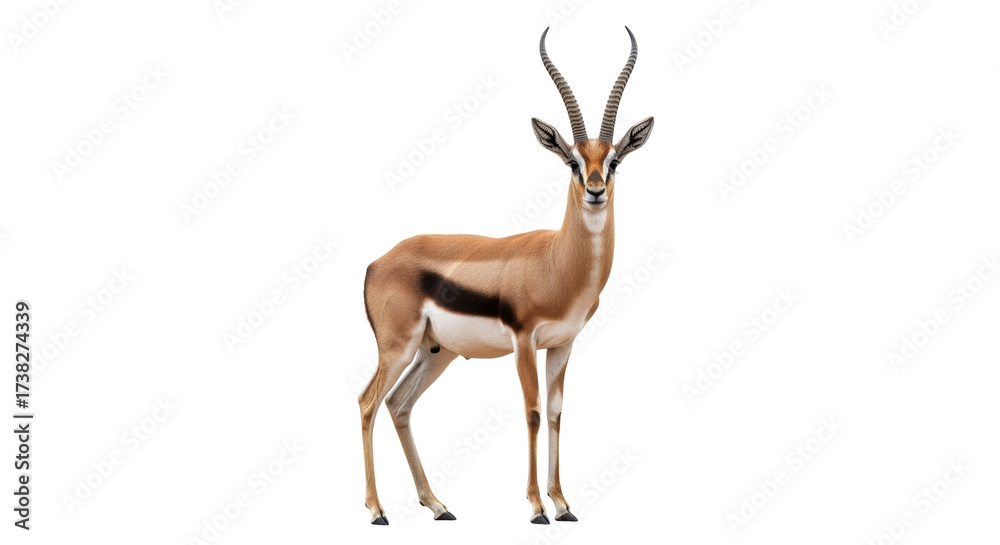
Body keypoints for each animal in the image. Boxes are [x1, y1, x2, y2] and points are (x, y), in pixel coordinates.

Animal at [359, 26, 653, 525]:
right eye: (572, 161)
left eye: (613, 161)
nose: (595, 191)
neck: (556, 262)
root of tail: (378, 261)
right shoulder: (523, 341)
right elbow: (532, 411)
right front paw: (536, 507)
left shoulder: (562, 344)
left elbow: (555, 413)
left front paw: (563, 504)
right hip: (396, 348)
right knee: (368, 403)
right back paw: (378, 511)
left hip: (435, 352)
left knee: (399, 405)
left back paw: (437, 506)